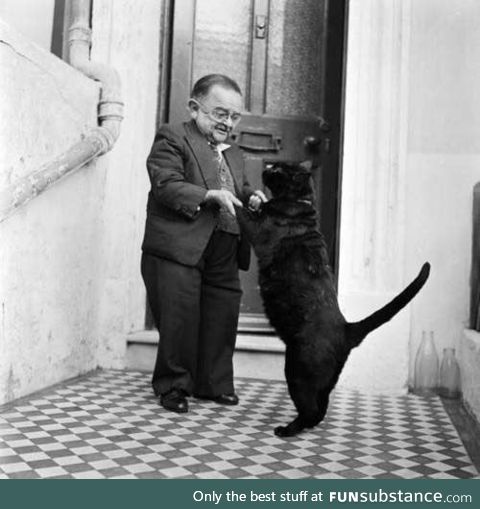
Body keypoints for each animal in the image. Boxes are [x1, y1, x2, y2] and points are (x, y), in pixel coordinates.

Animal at [234, 163, 430, 436]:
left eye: (279, 170)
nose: (268, 167)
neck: (299, 202)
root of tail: (347, 329)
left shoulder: (257, 228)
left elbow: (239, 208)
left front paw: (223, 194)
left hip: (296, 371)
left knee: (310, 410)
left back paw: (286, 430)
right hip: (322, 380)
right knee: (321, 408)